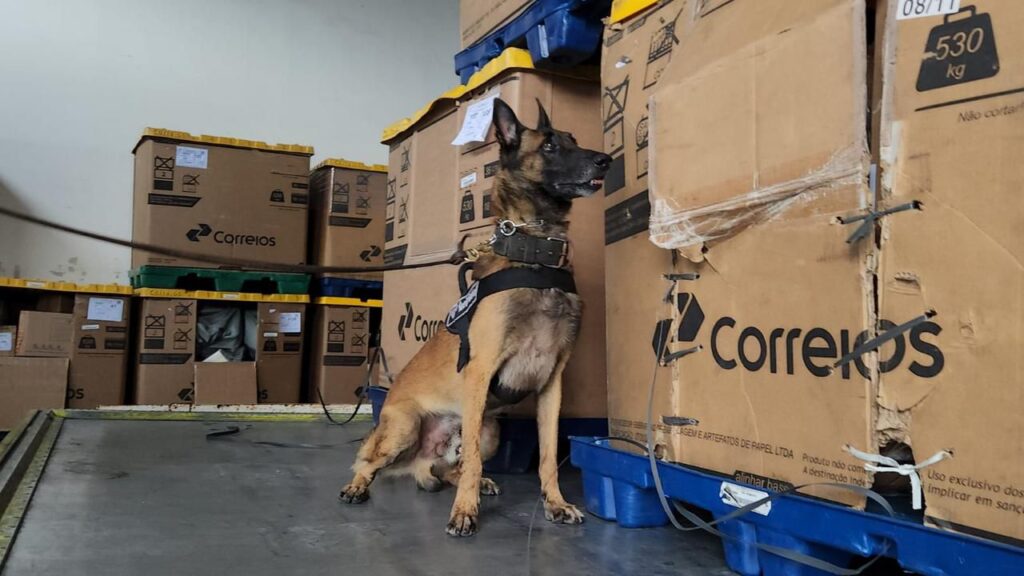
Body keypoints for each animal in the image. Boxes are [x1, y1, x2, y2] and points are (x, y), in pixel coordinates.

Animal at [337, 96, 606, 537]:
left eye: (574, 139)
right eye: (550, 146)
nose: (605, 160)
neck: (534, 255)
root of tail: (423, 453)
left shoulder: (552, 384)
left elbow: (548, 455)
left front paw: (555, 503)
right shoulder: (481, 370)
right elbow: (475, 460)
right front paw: (465, 512)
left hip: (491, 428)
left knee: (450, 467)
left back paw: (475, 481)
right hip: (403, 427)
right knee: (371, 461)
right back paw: (358, 487)